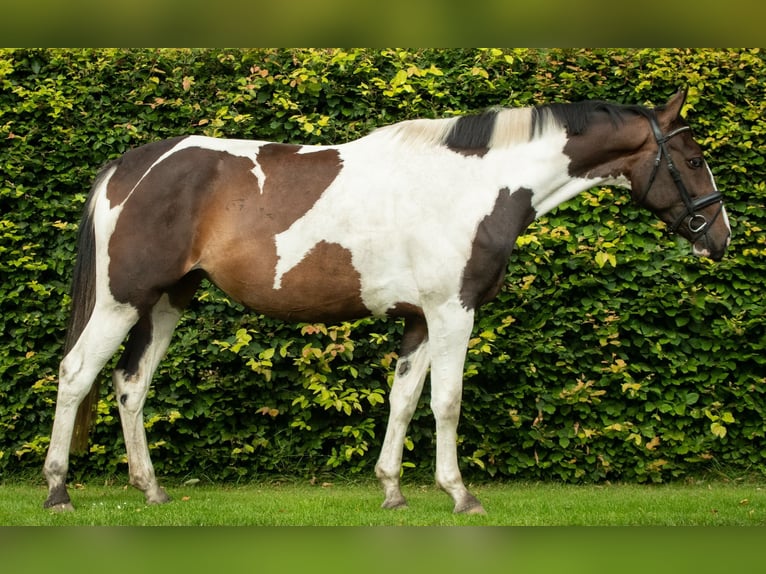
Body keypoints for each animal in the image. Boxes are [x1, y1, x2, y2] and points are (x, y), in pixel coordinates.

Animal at [43, 91, 732, 516]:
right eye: (694, 159)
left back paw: (151, 491)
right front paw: (461, 495)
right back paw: (58, 492)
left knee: (131, 384)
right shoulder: (454, 312)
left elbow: (402, 402)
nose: (721, 238)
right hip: (122, 301)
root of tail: (129, 166)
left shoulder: (421, 321)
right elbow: (447, 403)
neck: (475, 185)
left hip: (166, 302)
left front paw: (393, 492)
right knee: (76, 375)